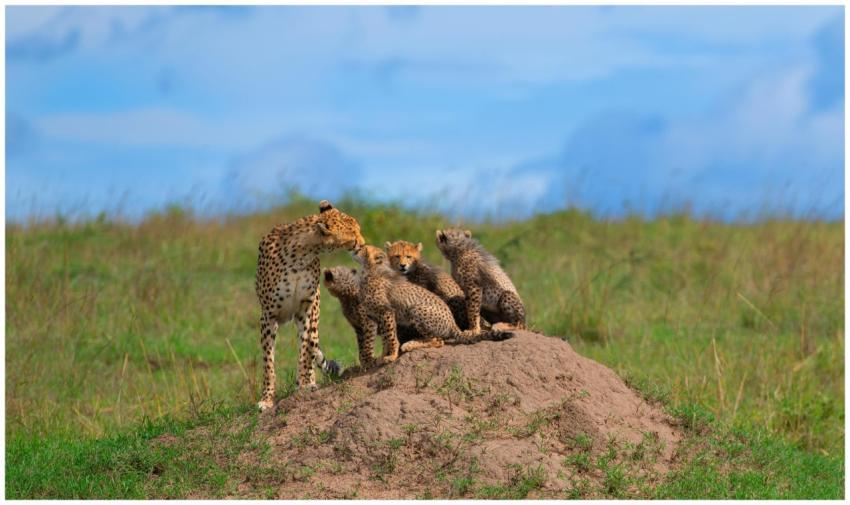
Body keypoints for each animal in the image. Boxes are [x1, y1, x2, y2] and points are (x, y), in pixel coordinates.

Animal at [254, 200, 365, 411]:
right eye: (353, 235)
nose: (362, 244)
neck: (301, 254)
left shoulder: (305, 308)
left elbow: (305, 352)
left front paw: (305, 385)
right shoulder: (268, 316)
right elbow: (268, 362)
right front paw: (267, 399)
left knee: (311, 347)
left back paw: (308, 381)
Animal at [353, 245, 513, 364]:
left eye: (364, 248)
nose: (356, 248)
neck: (369, 271)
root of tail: (453, 323)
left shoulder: (386, 312)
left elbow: (390, 336)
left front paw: (391, 356)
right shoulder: (375, 315)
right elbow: (385, 338)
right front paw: (382, 356)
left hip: (416, 309)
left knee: (437, 341)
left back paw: (410, 344)